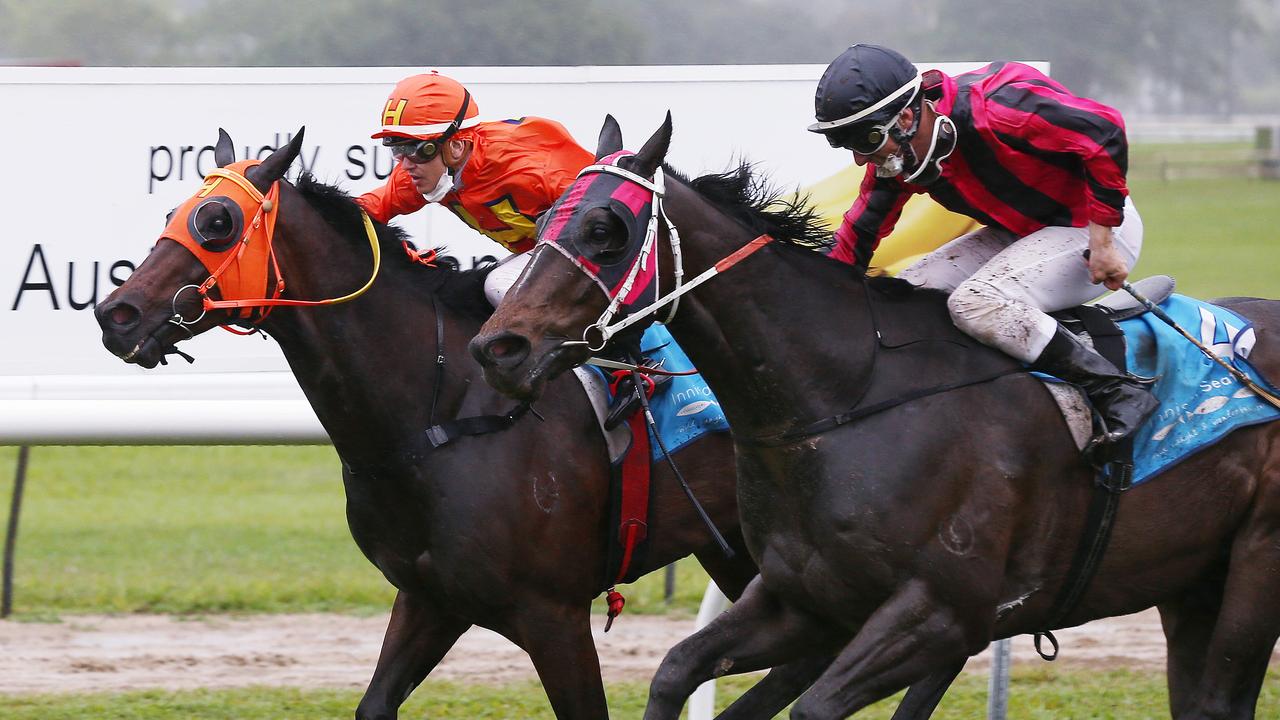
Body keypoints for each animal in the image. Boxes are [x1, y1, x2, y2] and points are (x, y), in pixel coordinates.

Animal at [97, 130, 768, 717]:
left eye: (217, 223)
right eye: (174, 212)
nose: (116, 314)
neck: (440, 414)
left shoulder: (555, 614)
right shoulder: (431, 596)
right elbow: (375, 703)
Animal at [471, 114, 1280, 712]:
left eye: (605, 229)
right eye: (544, 217)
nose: (498, 347)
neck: (843, 399)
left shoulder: (939, 613)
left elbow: (815, 705)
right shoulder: (804, 599)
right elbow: (674, 671)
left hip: (1253, 566)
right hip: (1190, 582)